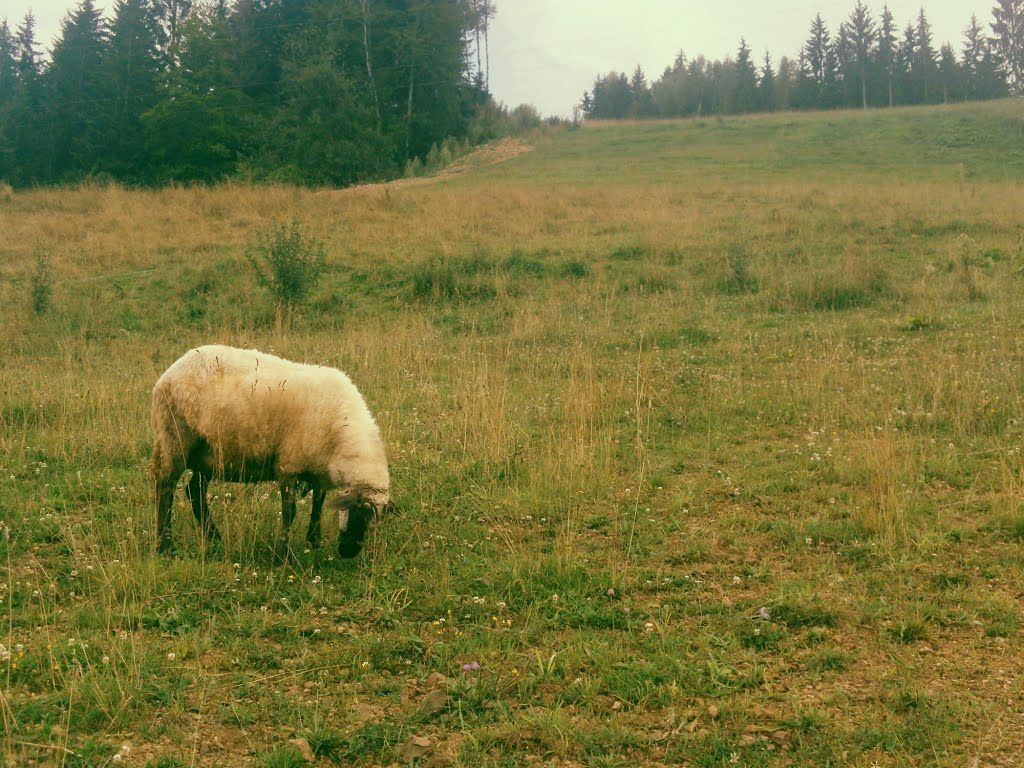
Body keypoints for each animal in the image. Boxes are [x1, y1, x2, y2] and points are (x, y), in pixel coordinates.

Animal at [149, 346, 389, 561]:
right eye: (358, 515)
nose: (348, 553)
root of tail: (170, 372)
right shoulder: (289, 464)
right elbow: (290, 511)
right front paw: (283, 558)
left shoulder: (317, 466)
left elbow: (318, 504)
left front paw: (314, 541)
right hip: (175, 438)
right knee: (166, 487)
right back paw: (165, 546)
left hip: (209, 454)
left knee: (195, 491)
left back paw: (214, 537)